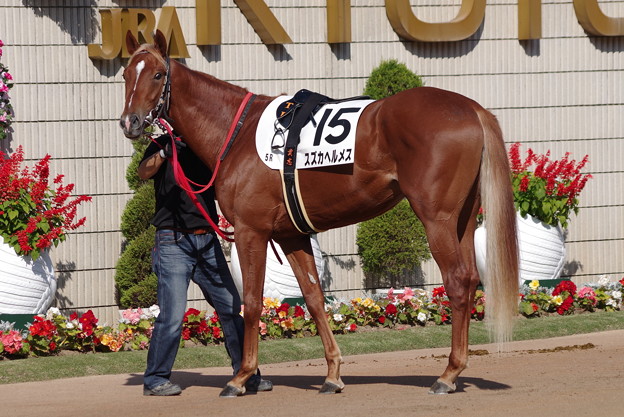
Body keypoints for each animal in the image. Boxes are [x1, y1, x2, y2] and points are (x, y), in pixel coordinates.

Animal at [119, 30, 520, 394]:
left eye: (157, 74)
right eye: (126, 74)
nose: (130, 122)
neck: (237, 133)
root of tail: (471, 109)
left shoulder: (251, 231)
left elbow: (251, 302)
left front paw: (242, 376)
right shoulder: (291, 235)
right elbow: (313, 299)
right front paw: (332, 373)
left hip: (437, 219)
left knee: (457, 281)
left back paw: (448, 374)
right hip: (464, 218)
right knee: (470, 278)